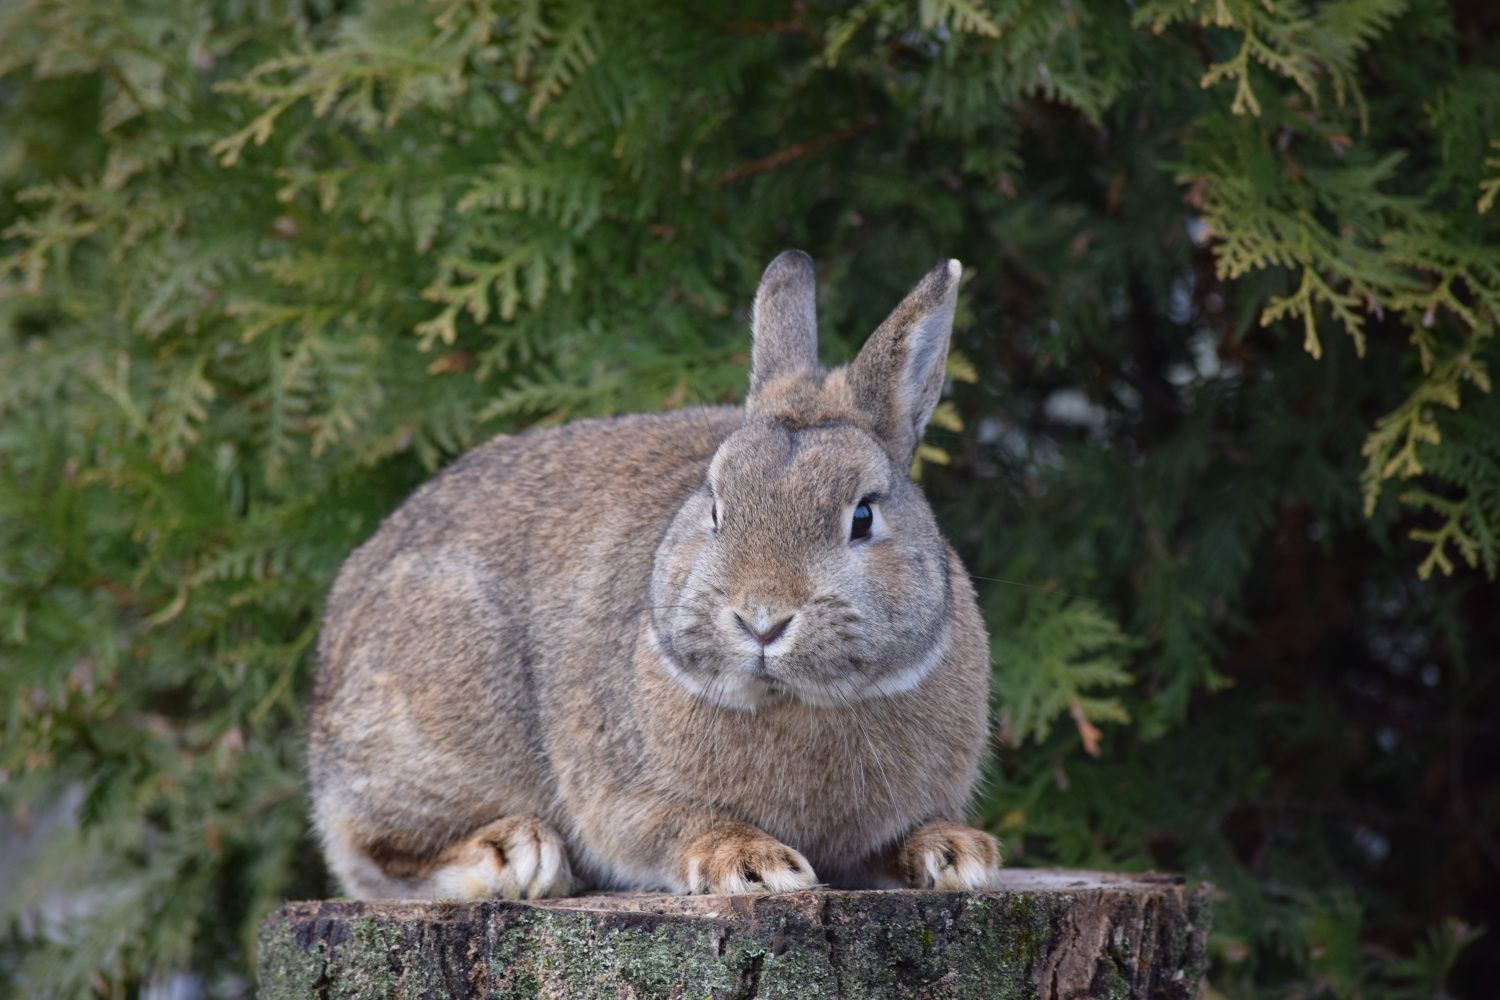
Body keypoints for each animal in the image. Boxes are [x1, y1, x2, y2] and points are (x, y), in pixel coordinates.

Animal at [306, 250, 1002, 899]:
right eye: (715, 506)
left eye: (862, 516)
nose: (761, 621)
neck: (797, 701)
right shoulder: (625, 801)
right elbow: (682, 827)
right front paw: (755, 865)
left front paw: (956, 853)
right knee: (376, 855)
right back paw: (516, 855)